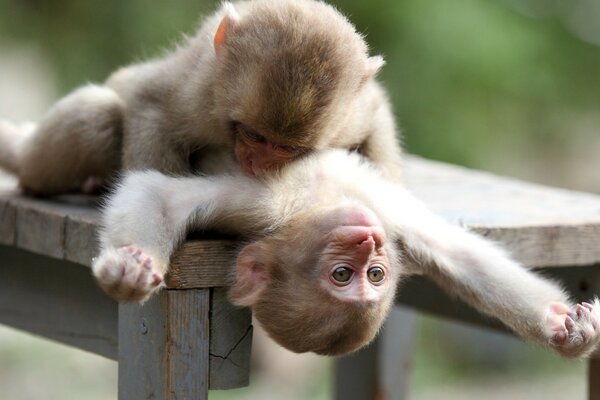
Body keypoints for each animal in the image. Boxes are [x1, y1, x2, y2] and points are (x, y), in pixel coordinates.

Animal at [0, 0, 404, 195]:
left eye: (287, 148)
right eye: (254, 136)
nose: (258, 164)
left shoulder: (348, 116)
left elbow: (377, 113)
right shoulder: (200, 96)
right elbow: (149, 103)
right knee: (97, 116)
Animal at [92, 149, 600, 356]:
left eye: (375, 275)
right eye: (342, 275)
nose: (367, 241)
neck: (318, 203)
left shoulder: (388, 223)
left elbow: (460, 255)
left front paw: (566, 331)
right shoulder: (266, 207)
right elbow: (156, 193)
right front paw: (128, 271)